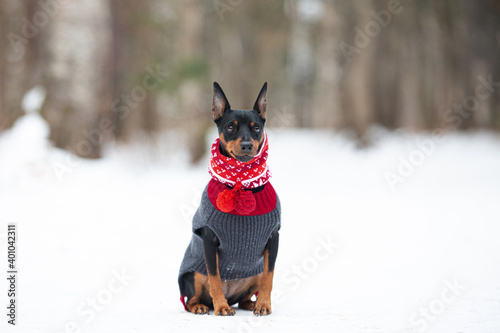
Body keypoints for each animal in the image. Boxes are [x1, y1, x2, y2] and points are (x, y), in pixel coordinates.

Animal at [179, 81, 282, 316]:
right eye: (230, 127)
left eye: (256, 128)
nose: (246, 145)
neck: (242, 184)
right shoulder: (209, 239)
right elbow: (215, 277)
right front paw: (222, 308)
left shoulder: (273, 238)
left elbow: (269, 277)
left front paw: (264, 304)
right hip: (194, 275)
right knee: (190, 300)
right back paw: (204, 306)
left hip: (253, 273)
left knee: (245, 297)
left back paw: (252, 303)